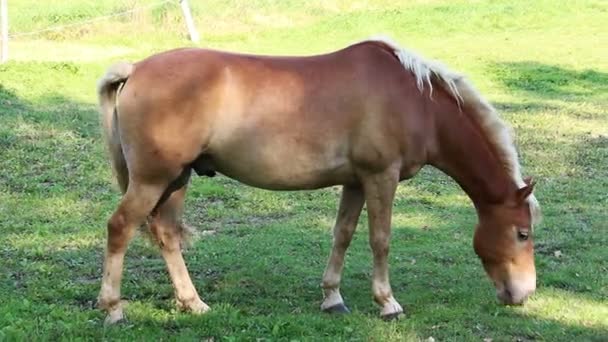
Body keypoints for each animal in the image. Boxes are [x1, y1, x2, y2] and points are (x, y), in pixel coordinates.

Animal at [96, 36, 540, 324]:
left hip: (176, 179)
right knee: (120, 228)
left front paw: (332, 298)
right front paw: (387, 303)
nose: (523, 294)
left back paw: (192, 303)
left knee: (166, 234)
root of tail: (134, 70)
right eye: (522, 233)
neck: (416, 101)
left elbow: (342, 234)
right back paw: (114, 309)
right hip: (153, 180)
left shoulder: (357, 181)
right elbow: (380, 239)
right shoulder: (382, 177)